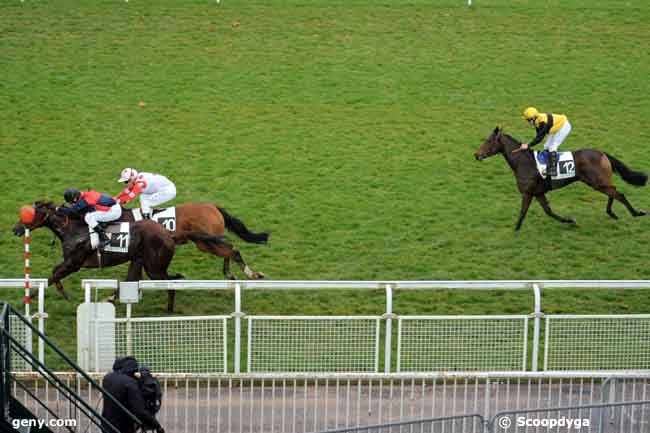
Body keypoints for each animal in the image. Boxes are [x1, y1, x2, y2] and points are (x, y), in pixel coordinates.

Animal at [13, 202, 181, 310]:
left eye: (28, 215)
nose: (15, 229)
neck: (73, 230)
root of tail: (167, 234)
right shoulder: (69, 262)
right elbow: (54, 272)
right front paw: (64, 294)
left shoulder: (74, 264)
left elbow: (51, 278)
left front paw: (24, 300)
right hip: (139, 261)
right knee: (133, 279)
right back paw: (111, 299)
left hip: (154, 269)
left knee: (171, 282)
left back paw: (169, 310)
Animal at [117, 203, 268, 280]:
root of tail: (213, 207)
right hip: (208, 241)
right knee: (230, 248)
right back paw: (230, 274)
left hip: (205, 242)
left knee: (232, 250)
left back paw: (251, 274)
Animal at [474, 126, 644, 231]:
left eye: (488, 141)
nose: (476, 154)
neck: (522, 162)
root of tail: (602, 153)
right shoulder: (538, 193)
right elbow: (548, 211)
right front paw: (569, 221)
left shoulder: (527, 193)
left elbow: (523, 212)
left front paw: (515, 230)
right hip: (599, 182)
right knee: (613, 192)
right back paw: (611, 213)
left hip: (597, 182)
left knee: (618, 194)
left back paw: (636, 213)